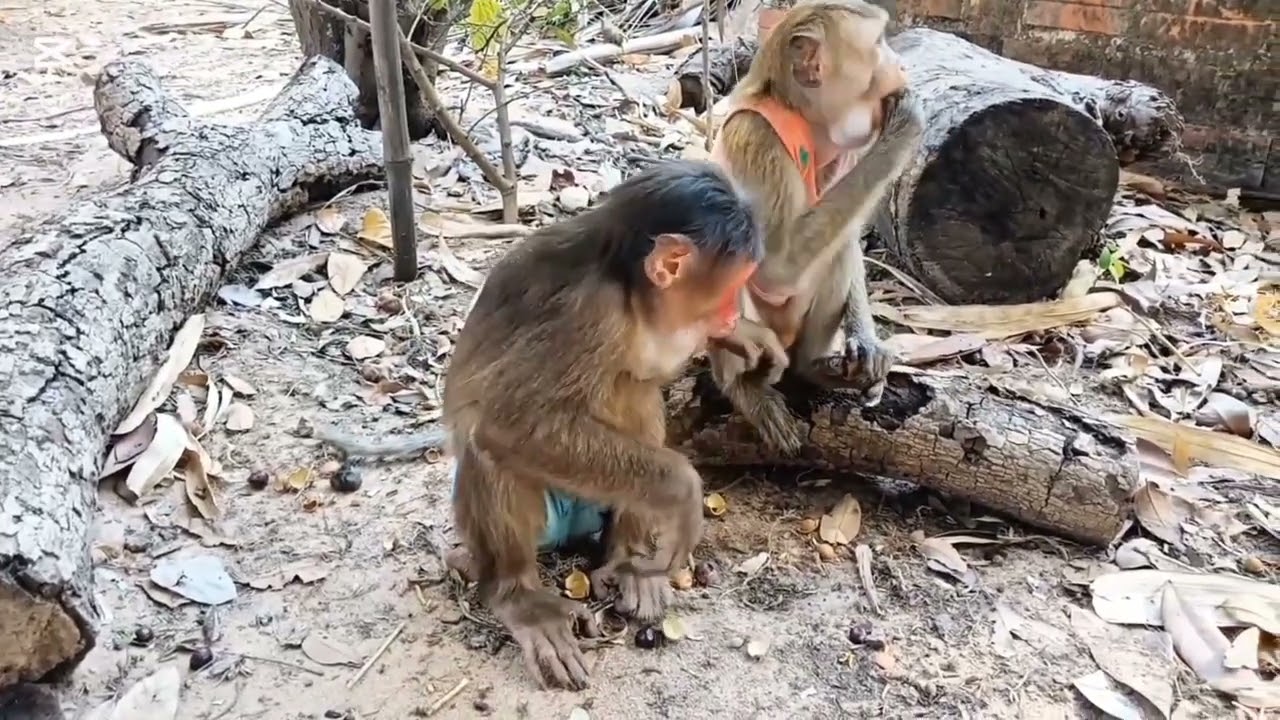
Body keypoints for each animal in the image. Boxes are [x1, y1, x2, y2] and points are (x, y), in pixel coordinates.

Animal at [443, 159, 782, 690]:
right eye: (729, 290)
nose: (730, 314)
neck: (625, 289)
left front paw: (743, 338)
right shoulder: (586, 314)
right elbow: (508, 423)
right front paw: (685, 490)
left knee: (635, 392)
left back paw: (629, 558)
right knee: (489, 444)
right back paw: (517, 595)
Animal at [706, 0, 925, 455]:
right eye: (879, 44)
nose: (901, 65)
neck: (806, 122)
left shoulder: (844, 154)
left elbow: (849, 235)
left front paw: (866, 342)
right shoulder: (759, 140)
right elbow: (775, 266)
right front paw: (906, 126)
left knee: (835, 247)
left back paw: (810, 367)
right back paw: (743, 387)